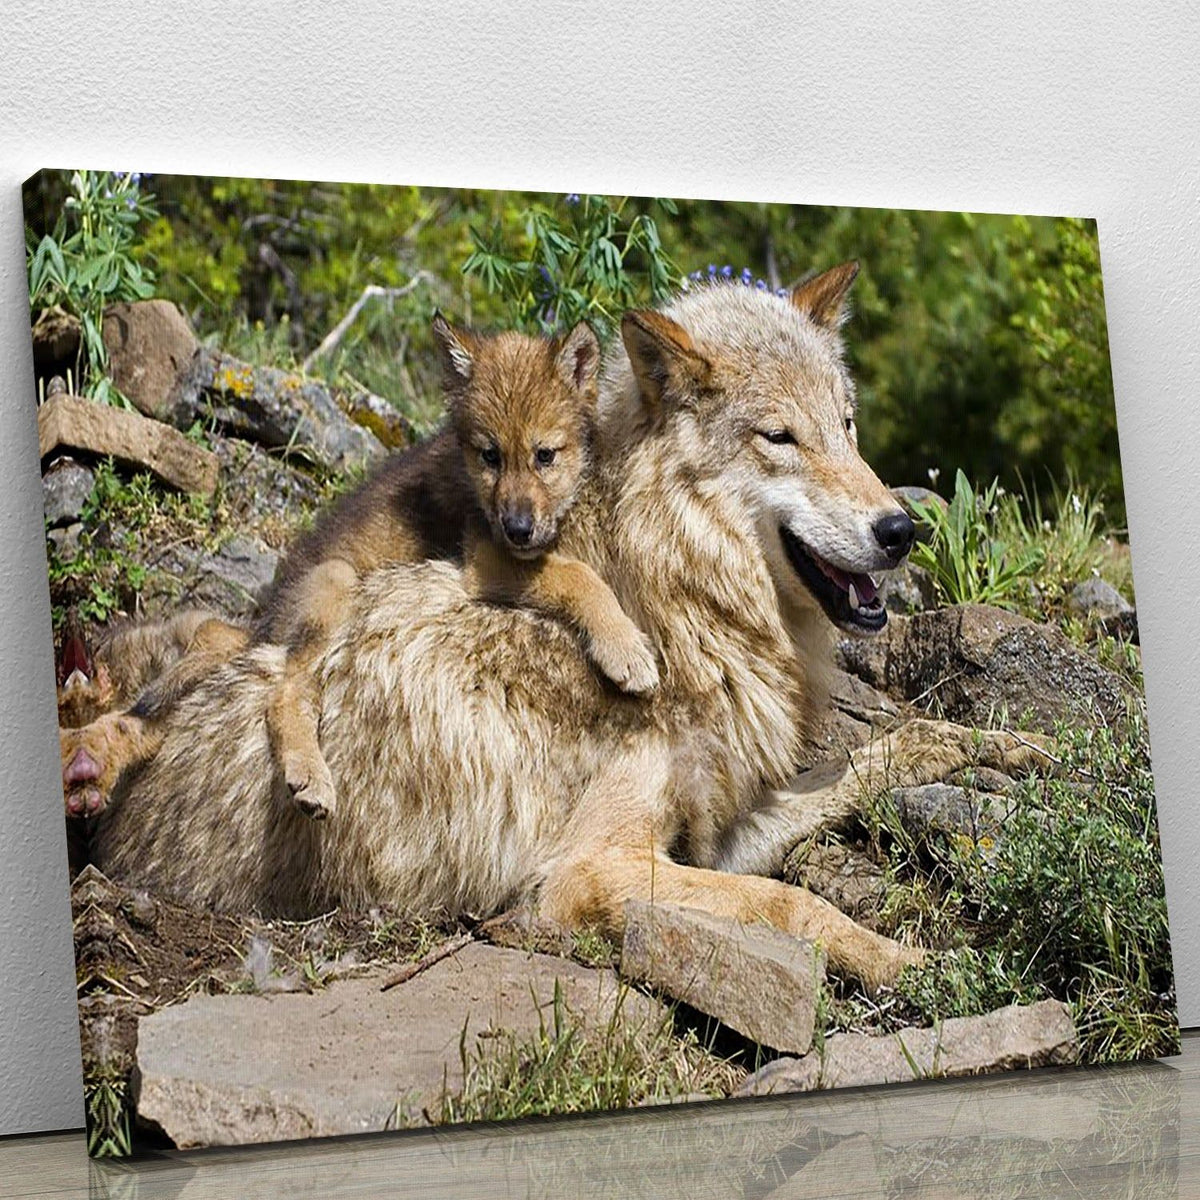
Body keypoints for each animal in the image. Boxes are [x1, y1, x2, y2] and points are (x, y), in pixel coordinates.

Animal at [61, 318, 657, 821]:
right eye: (490, 455)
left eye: (545, 455)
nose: (517, 528)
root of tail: (266, 621)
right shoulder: (485, 559)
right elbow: (578, 576)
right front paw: (626, 649)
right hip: (337, 585)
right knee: (282, 693)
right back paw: (310, 778)